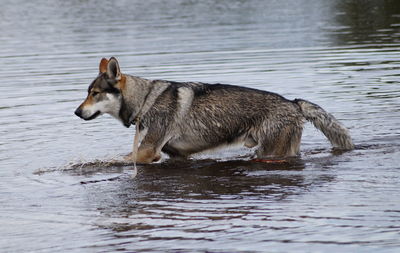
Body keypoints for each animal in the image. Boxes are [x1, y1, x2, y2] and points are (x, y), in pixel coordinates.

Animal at [74, 56, 354, 164]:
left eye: (94, 94)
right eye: (87, 93)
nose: (76, 113)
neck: (145, 101)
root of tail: (293, 102)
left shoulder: (147, 153)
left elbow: (112, 161)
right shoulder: (176, 155)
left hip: (271, 153)